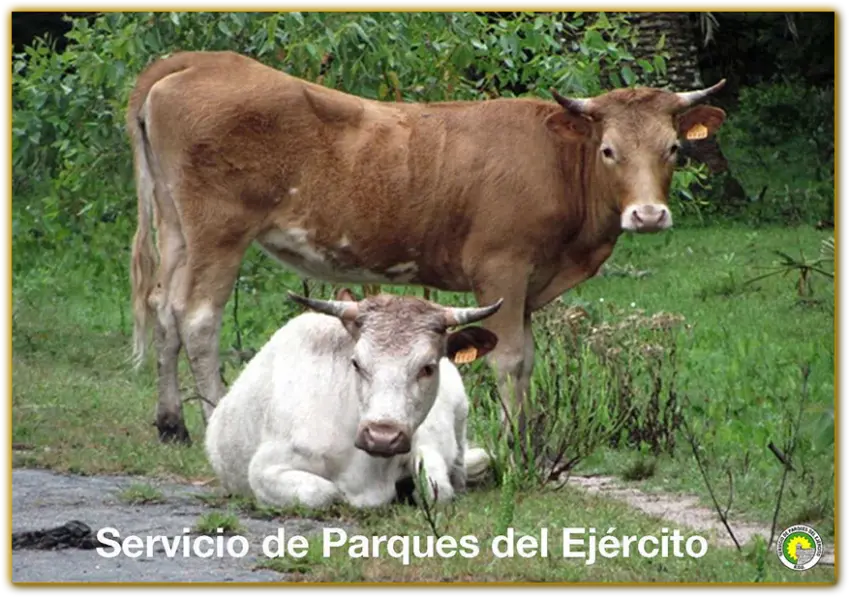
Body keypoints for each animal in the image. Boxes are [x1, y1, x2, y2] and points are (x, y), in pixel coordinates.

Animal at [126, 50, 727, 444]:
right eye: (608, 150)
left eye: (673, 148)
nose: (648, 214)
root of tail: (197, 62)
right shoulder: (503, 269)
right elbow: (508, 358)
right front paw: (513, 444)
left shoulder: (529, 286)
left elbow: (527, 359)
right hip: (219, 231)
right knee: (198, 318)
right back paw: (212, 419)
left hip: (177, 227)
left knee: (164, 307)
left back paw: (170, 422)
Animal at [203, 289, 501, 509]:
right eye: (356, 363)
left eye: (427, 368)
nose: (382, 436)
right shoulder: (265, 469)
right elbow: (326, 493)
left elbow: (436, 490)